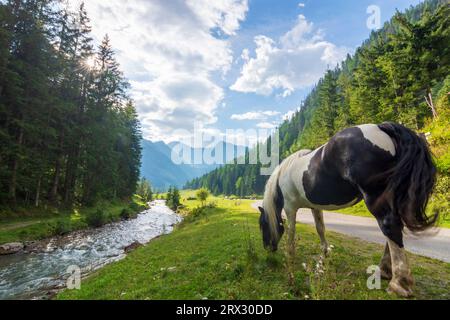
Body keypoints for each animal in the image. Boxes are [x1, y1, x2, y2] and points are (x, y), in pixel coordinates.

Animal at [258, 122, 438, 298]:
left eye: (262, 225)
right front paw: (325, 254)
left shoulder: (290, 208)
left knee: (389, 225)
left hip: (375, 198)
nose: (268, 248)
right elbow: (320, 228)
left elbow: (291, 233)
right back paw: (385, 270)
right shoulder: (315, 207)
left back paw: (399, 283)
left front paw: (290, 256)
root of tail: (382, 126)